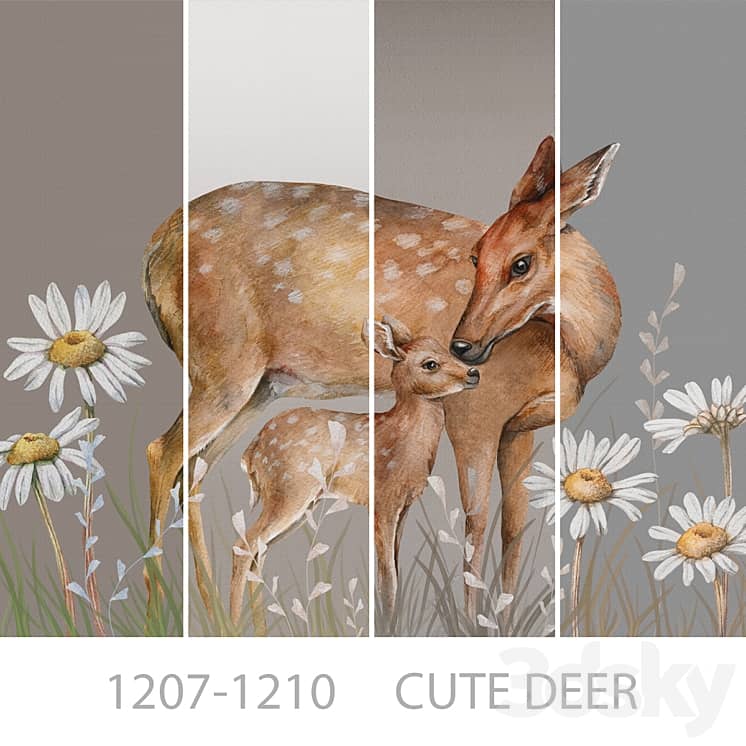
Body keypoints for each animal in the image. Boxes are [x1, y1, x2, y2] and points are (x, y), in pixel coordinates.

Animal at [229, 316, 479, 633]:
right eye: (430, 363)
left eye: (447, 350)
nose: (473, 373)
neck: (404, 441)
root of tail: (251, 451)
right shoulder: (383, 501)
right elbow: (387, 578)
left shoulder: (403, 506)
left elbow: (396, 569)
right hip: (289, 489)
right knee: (244, 546)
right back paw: (231, 625)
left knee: (258, 552)